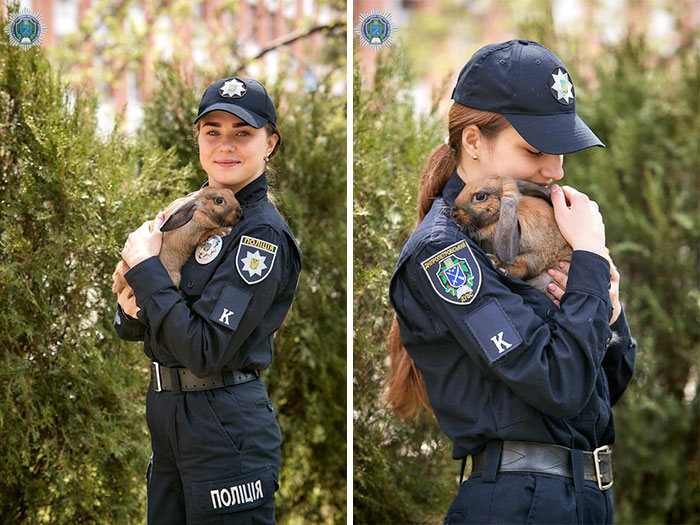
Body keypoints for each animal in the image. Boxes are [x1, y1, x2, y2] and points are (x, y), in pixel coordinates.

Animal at [112, 187, 243, 314]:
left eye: (231, 193)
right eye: (219, 200)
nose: (239, 214)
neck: (199, 211)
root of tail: (117, 286)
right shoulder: (194, 236)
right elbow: (205, 234)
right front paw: (224, 231)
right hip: (174, 276)